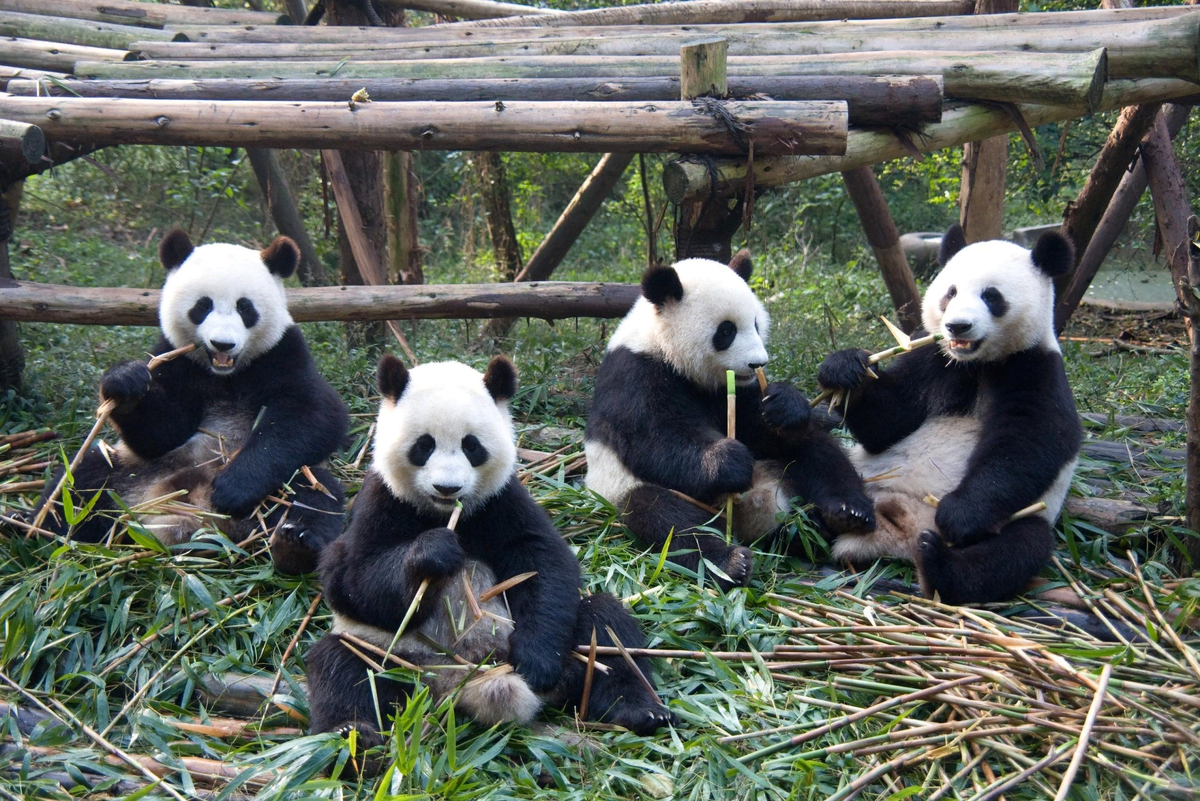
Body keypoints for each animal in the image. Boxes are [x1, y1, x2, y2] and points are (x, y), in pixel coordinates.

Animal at [32, 227, 350, 573]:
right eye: (202, 306)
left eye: (245, 308)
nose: (222, 344)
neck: (224, 375)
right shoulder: (175, 360)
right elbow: (162, 433)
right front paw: (126, 383)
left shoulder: (282, 353)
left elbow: (314, 415)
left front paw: (232, 488)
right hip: (133, 472)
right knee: (80, 485)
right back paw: (33, 532)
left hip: (283, 485)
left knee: (314, 494)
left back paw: (294, 545)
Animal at [304, 352, 676, 748]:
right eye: (424, 445)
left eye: (471, 446)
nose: (447, 488)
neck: (443, 513)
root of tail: (464, 684)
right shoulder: (381, 500)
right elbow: (351, 579)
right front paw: (434, 554)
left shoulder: (501, 500)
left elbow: (542, 560)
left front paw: (536, 662)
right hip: (401, 660)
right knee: (345, 665)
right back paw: (352, 733)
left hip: (571, 649)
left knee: (606, 630)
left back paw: (640, 710)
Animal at [585, 250, 878, 587]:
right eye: (726, 330)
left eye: (756, 324)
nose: (757, 363)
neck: (663, 346)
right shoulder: (635, 374)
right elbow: (654, 440)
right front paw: (729, 461)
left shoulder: (737, 391)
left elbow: (760, 428)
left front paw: (785, 405)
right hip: (623, 488)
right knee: (665, 518)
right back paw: (730, 561)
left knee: (817, 451)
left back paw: (845, 514)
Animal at [816, 221, 1089, 604]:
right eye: (951, 292)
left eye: (992, 296)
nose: (957, 326)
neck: (976, 362)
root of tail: (899, 533)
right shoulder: (934, 359)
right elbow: (887, 424)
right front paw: (845, 369)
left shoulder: (1034, 367)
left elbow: (1030, 442)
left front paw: (958, 514)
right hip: (867, 480)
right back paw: (843, 513)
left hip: (1022, 517)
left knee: (1015, 549)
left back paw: (938, 563)